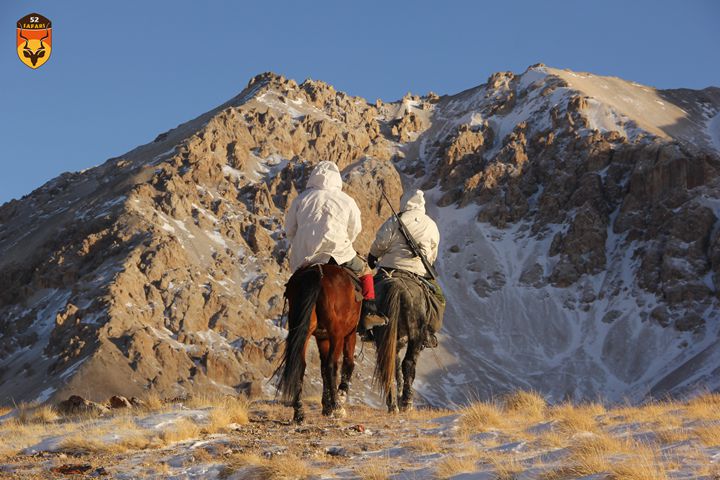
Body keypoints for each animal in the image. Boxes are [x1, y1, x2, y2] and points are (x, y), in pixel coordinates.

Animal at [274, 262, 360, 424]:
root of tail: (315, 273)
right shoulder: (350, 333)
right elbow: (347, 363)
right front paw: (339, 397)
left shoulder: (322, 338)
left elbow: (322, 368)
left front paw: (326, 406)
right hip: (336, 334)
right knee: (332, 365)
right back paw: (338, 407)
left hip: (304, 331)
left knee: (300, 365)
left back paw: (299, 413)